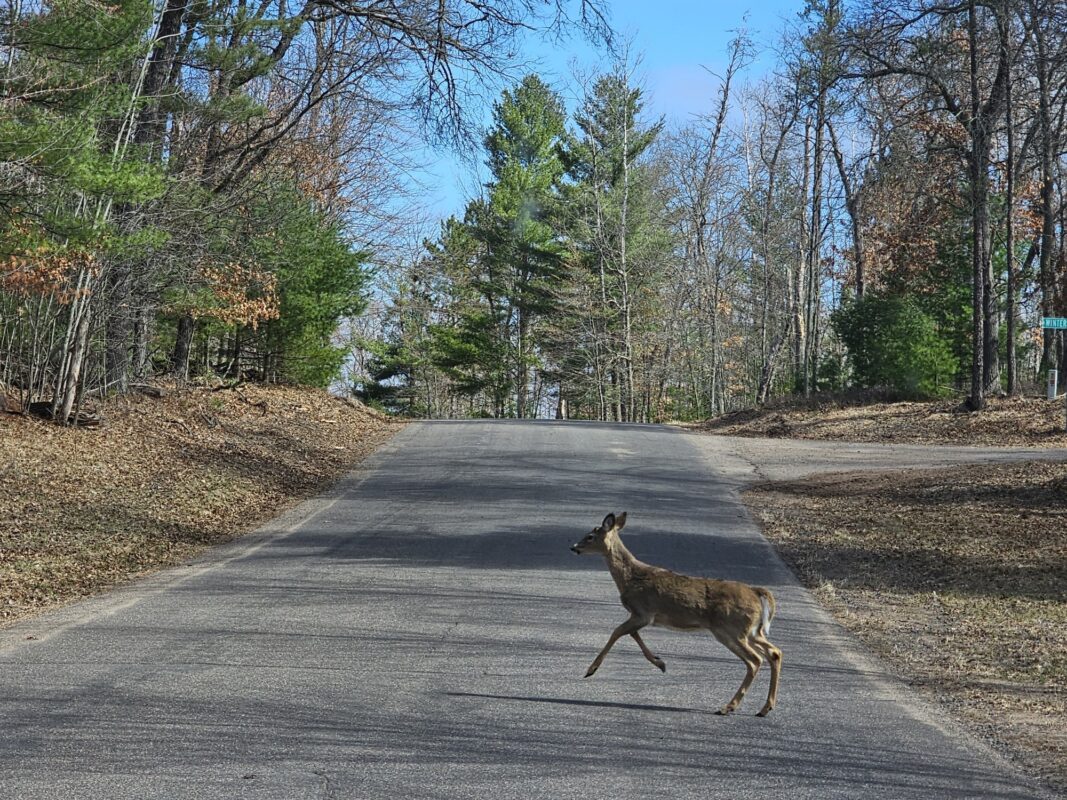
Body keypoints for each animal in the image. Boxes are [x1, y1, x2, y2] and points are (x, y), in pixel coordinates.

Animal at [570, 512, 782, 716]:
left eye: (590, 536)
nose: (573, 547)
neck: (629, 578)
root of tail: (756, 592)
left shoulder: (643, 612)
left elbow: (617, 632)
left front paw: (591, 669)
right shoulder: (641, 616)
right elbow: (632, 634)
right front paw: (660, 662)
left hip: (731, 629)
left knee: (755, 660)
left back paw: (728, 707)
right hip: (752, 631)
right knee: (774, 652)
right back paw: (765, 708)